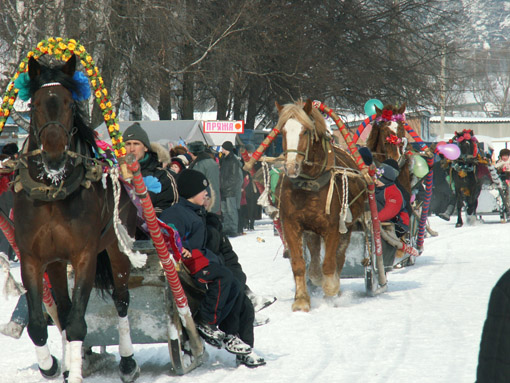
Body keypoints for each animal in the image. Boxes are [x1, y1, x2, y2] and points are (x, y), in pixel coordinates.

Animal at [14, 55, 141, 382]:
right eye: (34, 104)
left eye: (71, 104)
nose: (54, 156)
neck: (52, 192)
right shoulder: (32, 257)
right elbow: (39, 325)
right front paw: (52, 366)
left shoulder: (84, 255)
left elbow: (76, 325)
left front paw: (75, 372)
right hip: (57, 263)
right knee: (63, 307)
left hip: (118, 246)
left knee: (121, 300)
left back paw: (128, 361)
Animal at [274, 99, 366, 312]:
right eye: (282, 131)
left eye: (305, 131)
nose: (291, 167)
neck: (309, 185)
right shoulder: (291, 224)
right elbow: (299, 264)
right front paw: (301, 300)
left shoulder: (332, 228)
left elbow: (330, 265)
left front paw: (331, 289)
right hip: (312, 231)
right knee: (315, 258)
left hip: (346, 228)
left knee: (339, 258)